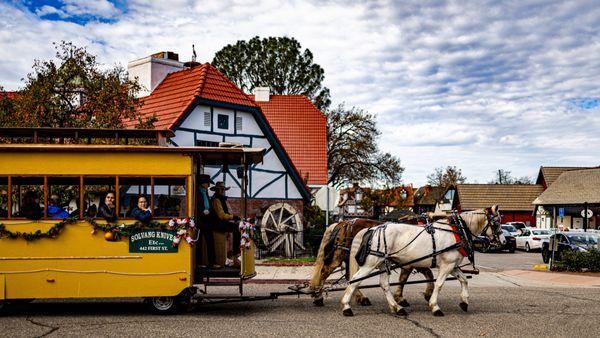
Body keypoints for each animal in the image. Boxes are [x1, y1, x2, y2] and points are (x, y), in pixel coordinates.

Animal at [342, 206, 502, 316]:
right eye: (496, 223)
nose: (503, 240)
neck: (457, 230)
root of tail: (373, 229)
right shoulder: (447, 265)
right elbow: (439, 284)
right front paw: (435, 306)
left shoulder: (453, 265)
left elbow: (464, 280)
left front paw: (464, 301)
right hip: (371, 263)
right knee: (354, 280)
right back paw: (346, 307)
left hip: (382, 263)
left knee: (384, 284)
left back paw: (397, 307)